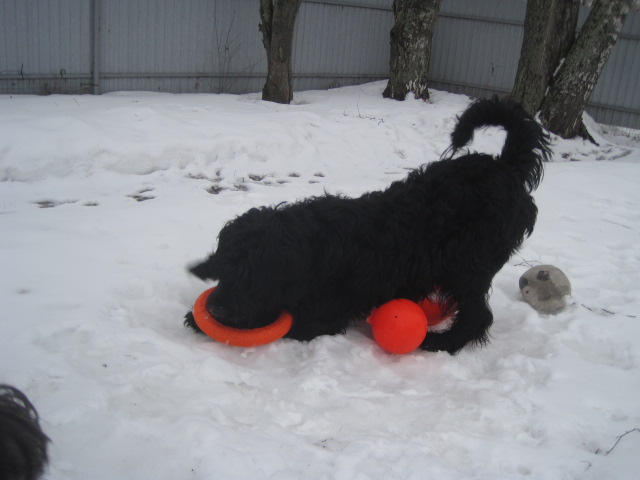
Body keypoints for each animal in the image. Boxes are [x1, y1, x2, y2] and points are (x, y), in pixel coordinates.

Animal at [185, 98, 550, 354]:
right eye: (226, 270)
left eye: (252, 274)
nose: (215, 307)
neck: (309, 250)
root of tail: (505, 167)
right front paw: (198, 319)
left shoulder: (324, 312)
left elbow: (294, 322)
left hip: (467, 265)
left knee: (478, 314)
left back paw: (443, 342)